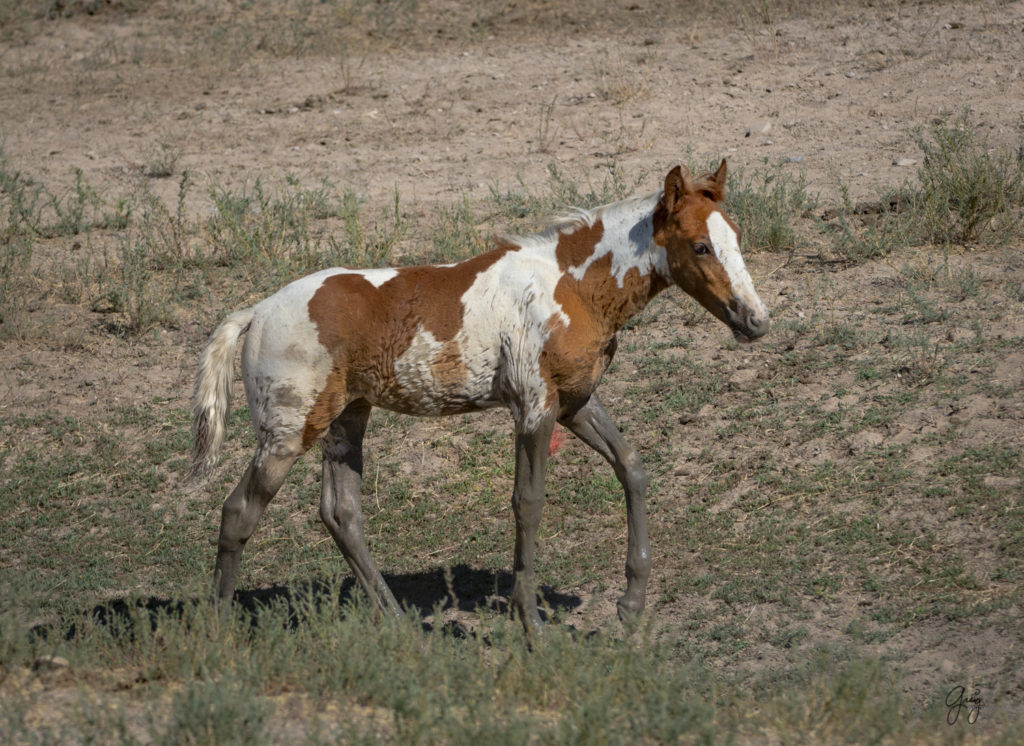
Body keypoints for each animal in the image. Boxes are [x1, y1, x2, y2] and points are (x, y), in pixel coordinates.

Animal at [190, 161, 770, 634]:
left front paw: (630, 606)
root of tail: (255, 312)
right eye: (700, 245)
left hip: (346, 420)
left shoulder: (575, 402)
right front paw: (531, 624)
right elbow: (528, 503)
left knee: (341, 514)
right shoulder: (534, 408)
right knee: (239, 511)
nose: (756, 320)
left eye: (736, 237)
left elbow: (632, 468)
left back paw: (398, 621)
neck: (571, 287)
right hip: (289, 433)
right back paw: (217, 629)